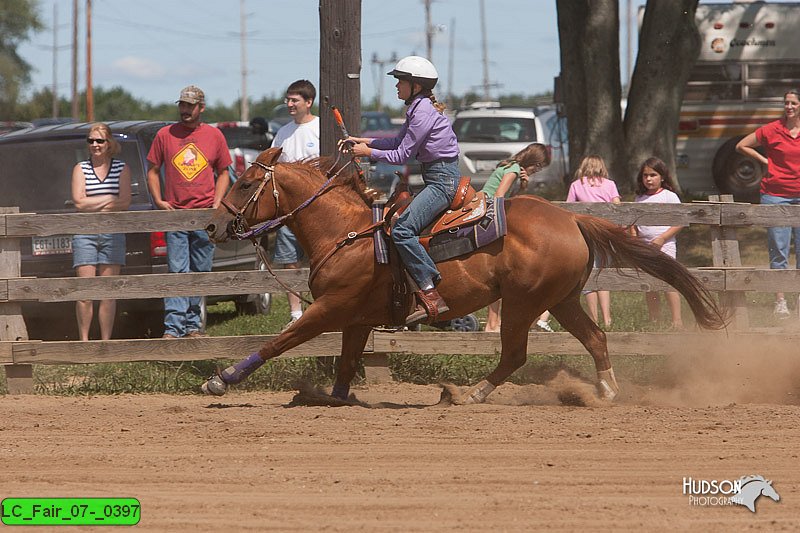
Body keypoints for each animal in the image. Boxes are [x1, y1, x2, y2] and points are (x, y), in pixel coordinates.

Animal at [203, 147, 728, 404]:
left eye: (246, 183)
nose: (211, 225)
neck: (347, 232)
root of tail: (571, 218)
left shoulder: (330, 309)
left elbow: (278, 341)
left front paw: (221, 380)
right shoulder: (356, 319)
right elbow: (346, 365)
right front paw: (333, 400)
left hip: (522, 303)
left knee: (515, 353)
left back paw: (472, 394)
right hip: (560, 300)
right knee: (595, 337)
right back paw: (607, 392)